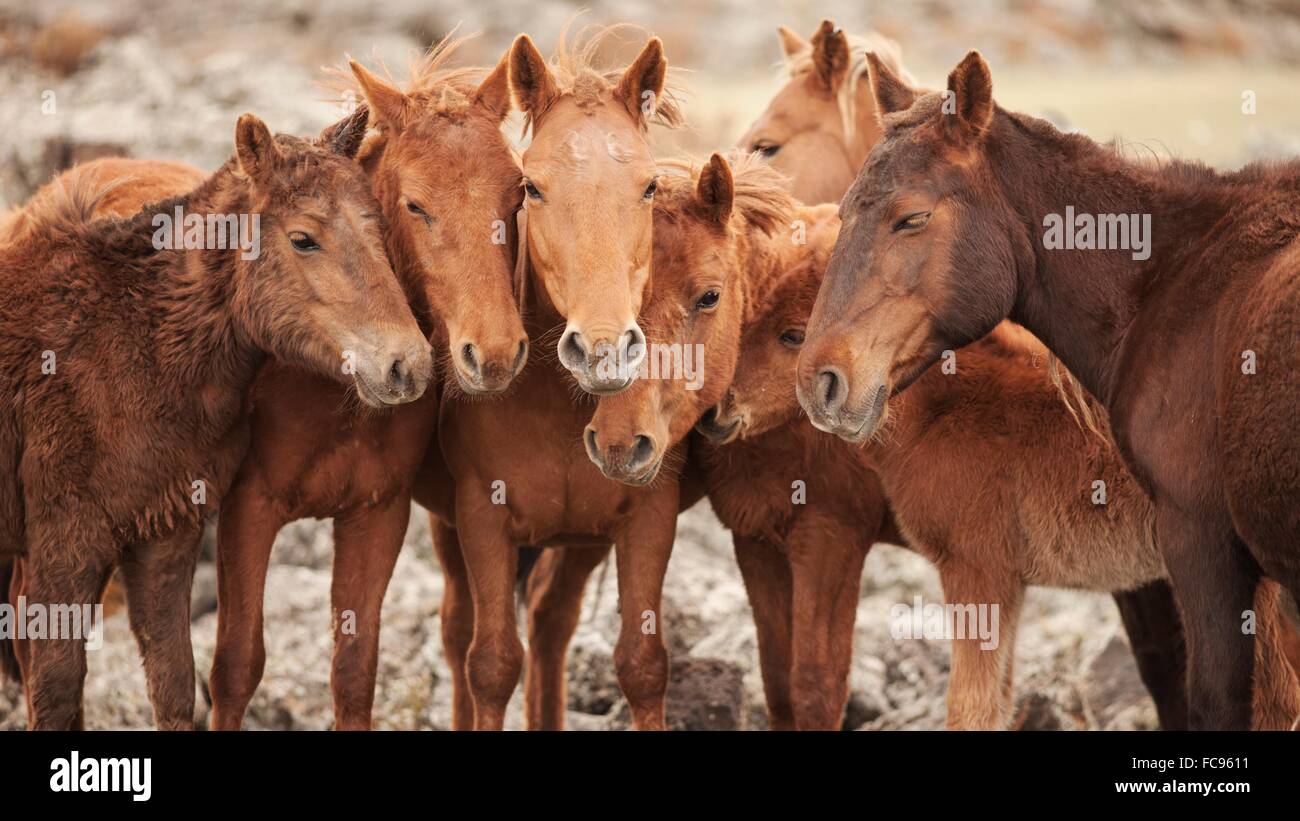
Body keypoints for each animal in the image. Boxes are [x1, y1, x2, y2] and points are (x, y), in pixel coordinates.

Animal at [0, 112, 428, 727]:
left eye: (381, 229)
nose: (407, 365)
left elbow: (175, 682)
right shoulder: (66, 544)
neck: (135, 341)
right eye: (303, 238)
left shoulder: (165, 535)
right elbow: (57, 692)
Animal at [702, 254, 1300, 722]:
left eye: (792, 333)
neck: (951, 408)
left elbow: (970, 707)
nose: (713, 411)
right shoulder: (1008, 583)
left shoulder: (977, 571)